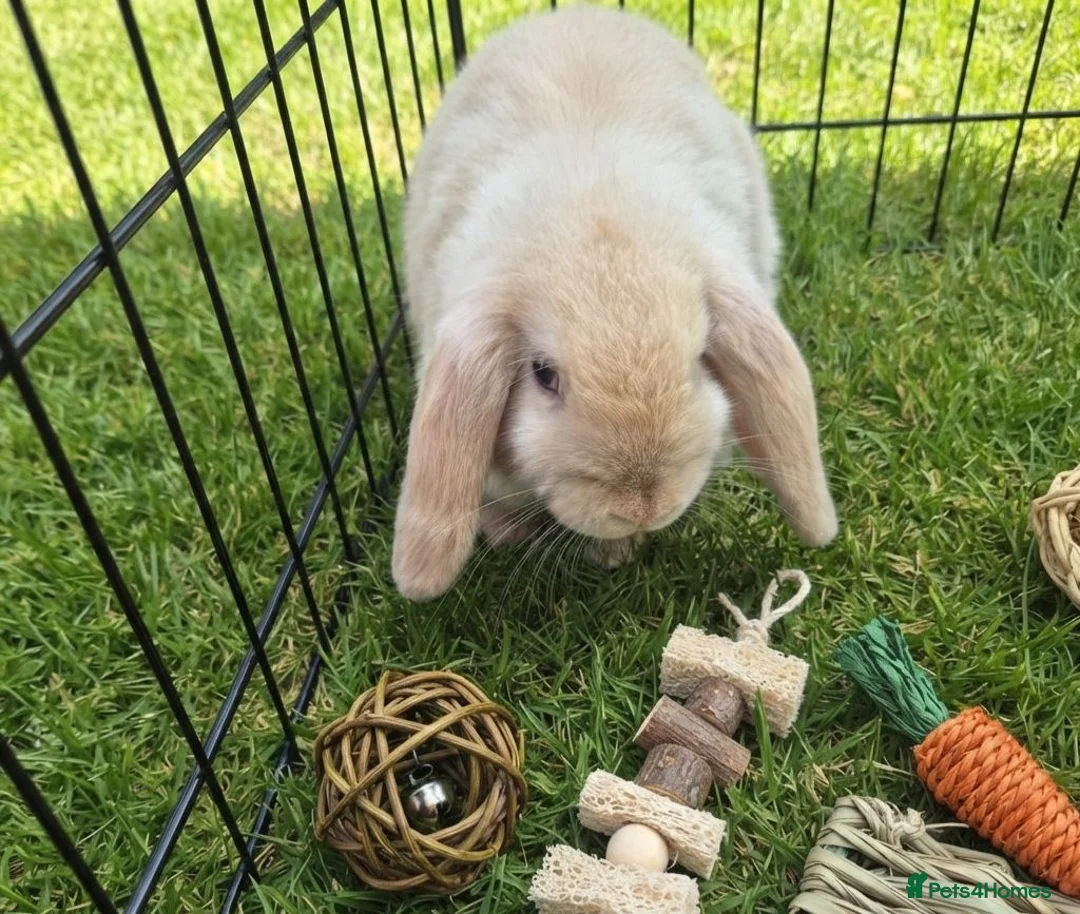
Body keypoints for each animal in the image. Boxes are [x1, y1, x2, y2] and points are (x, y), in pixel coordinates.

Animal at [392, 4, 837, 601]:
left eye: (699, 360)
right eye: (543, 374)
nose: (644, 505)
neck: (591, 206)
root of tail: (583, 13)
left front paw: (617, 550)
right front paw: (511, 535)